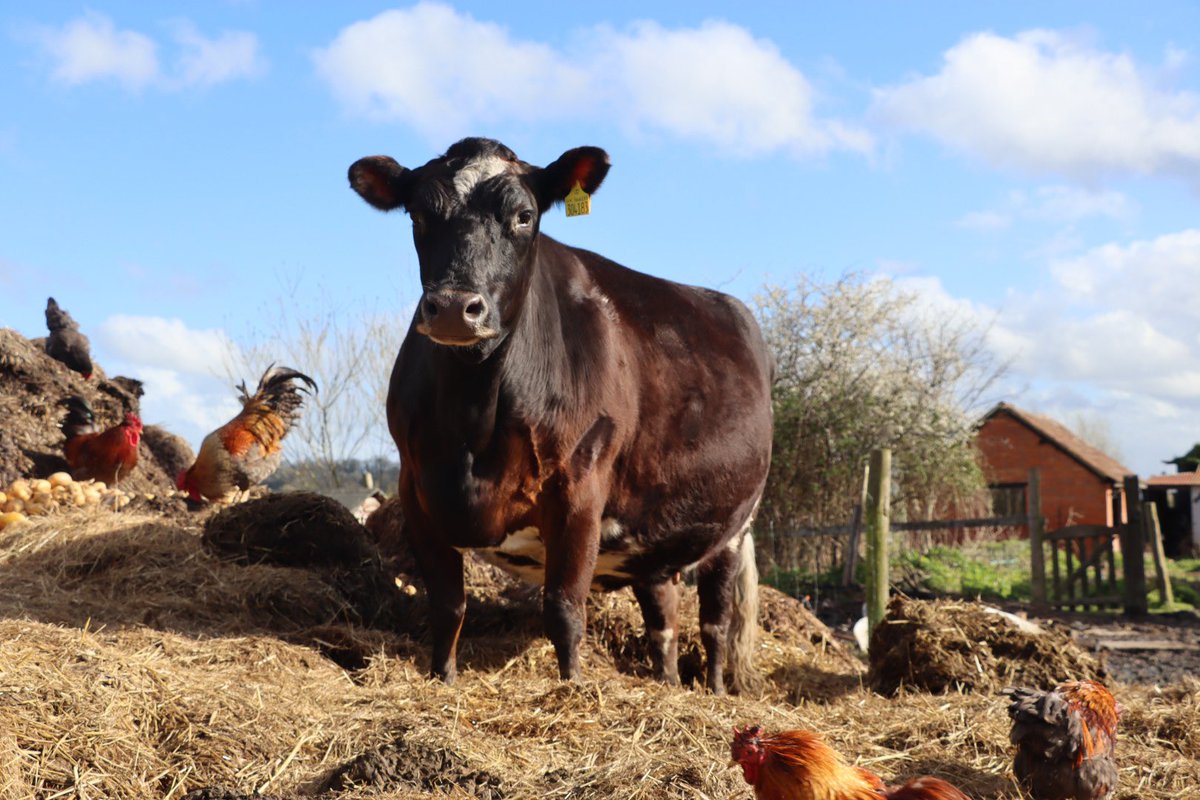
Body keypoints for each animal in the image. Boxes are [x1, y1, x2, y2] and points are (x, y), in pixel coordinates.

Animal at [348, 139, 777, 695]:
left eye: (524, 216)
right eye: (419, 214)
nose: (454, 307)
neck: (473, 421)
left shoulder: (579, 489)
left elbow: (564, 610)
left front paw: (571, 689)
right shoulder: (417, 489)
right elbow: (447, 607)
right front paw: (442, 680)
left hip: (734, 526)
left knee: (716, 622)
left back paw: (717, 690)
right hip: (653, 536)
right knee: (663, 620)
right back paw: (666, 684)